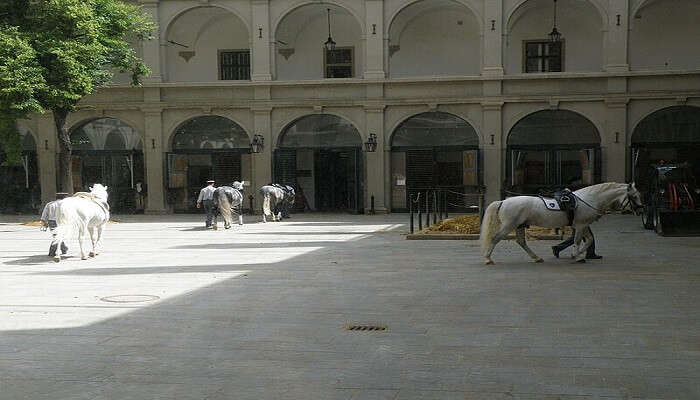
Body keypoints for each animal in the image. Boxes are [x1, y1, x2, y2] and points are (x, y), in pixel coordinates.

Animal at [478, 182, 644, 264]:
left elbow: (589, 240)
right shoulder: (581, 225)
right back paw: (487, 259)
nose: (641, 210)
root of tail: (503, 201)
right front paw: (577, 256)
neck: (589, 199)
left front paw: (578, 254)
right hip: (509, 226)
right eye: (635, 196)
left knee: (521, 242)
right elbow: (577, 240)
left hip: (519, 226)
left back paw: (536, 258)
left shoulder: (584, 225)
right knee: (495, 238)